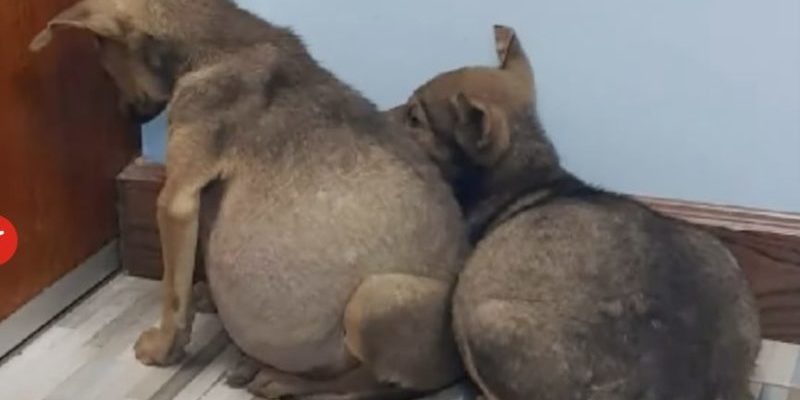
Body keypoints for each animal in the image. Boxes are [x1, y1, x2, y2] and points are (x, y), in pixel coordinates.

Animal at [31, 1, 468, 398]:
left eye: (107, 68)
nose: (126, 117)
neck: (213, 44)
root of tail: (454, 370)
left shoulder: (176, 200)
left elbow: (173, 295)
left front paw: (162, 349)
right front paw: (204, 298)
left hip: (374, 298)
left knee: (365, 385)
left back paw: (281, 380)